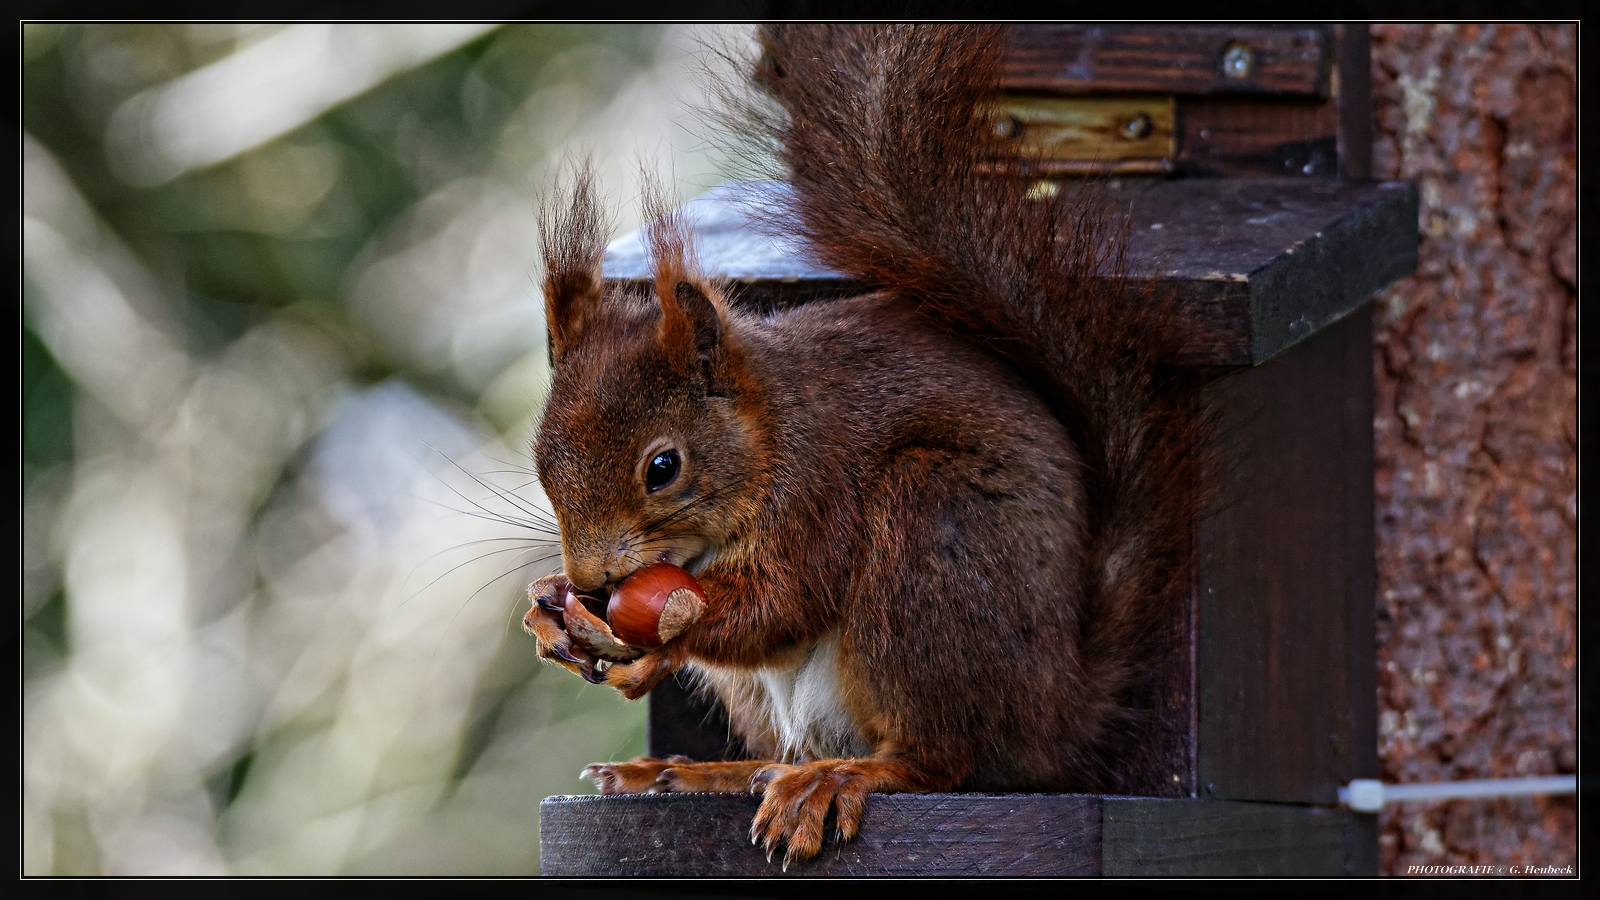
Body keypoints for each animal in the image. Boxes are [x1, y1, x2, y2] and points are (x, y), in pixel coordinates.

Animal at [518, 24, 1203, 864]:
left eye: (663, 467)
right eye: (542, 464)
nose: (589, 580)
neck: (771, 432)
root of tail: (1057, 713)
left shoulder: (819, 485)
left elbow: (783, 601)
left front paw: (668, 634)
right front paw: (549, 608)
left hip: (930, 535)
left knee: (938, 759)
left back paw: (840, 778)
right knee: (785, 750)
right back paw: (694, 772)